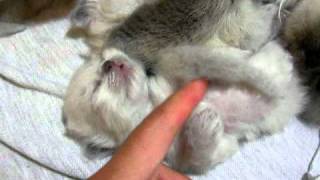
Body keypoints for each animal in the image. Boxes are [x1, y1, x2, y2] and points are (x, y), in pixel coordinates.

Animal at [63, 0, 306, 174]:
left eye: (105, 60)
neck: (156, 101)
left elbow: (219, 64)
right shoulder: (199, 152)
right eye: (95, 89)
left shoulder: (176, 62)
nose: (110, 64)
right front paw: (204, 122)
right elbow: (200, 158)